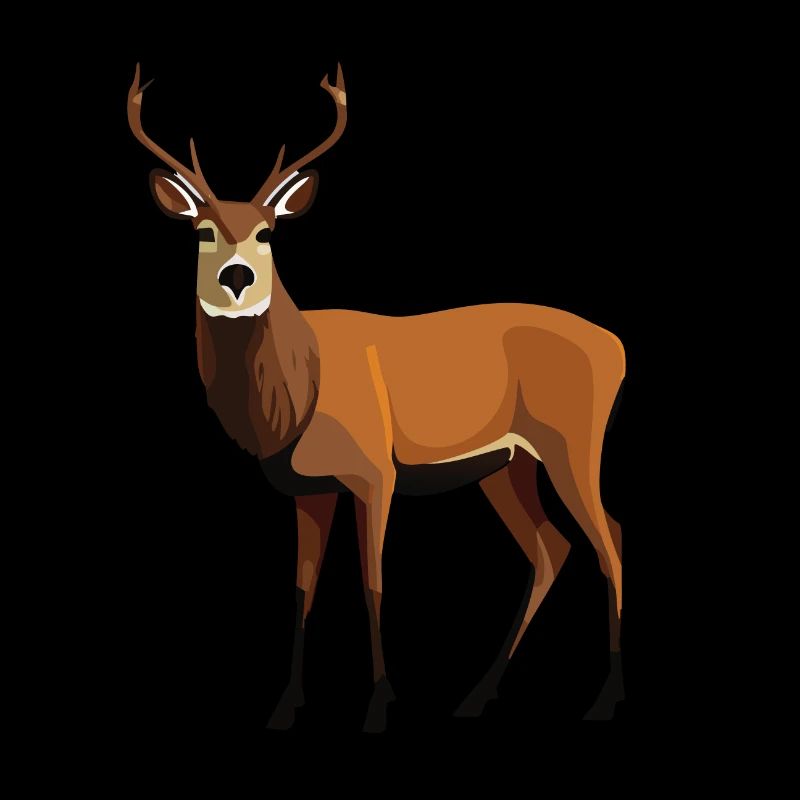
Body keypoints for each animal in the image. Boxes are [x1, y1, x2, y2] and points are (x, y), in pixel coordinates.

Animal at [128, 63, 626, 730]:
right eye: (203, 231)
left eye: (267, 232)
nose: (238, 278)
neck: (299, 395)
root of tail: (617, 347)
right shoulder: (307, 489)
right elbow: (303, 589)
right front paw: (285, 706)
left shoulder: (375, 471)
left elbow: (373, 582)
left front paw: (379, 705)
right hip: (507, 466)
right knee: (552, 547)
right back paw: (475, 696)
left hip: (575, 442)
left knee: (609, 540)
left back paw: (604, 699)